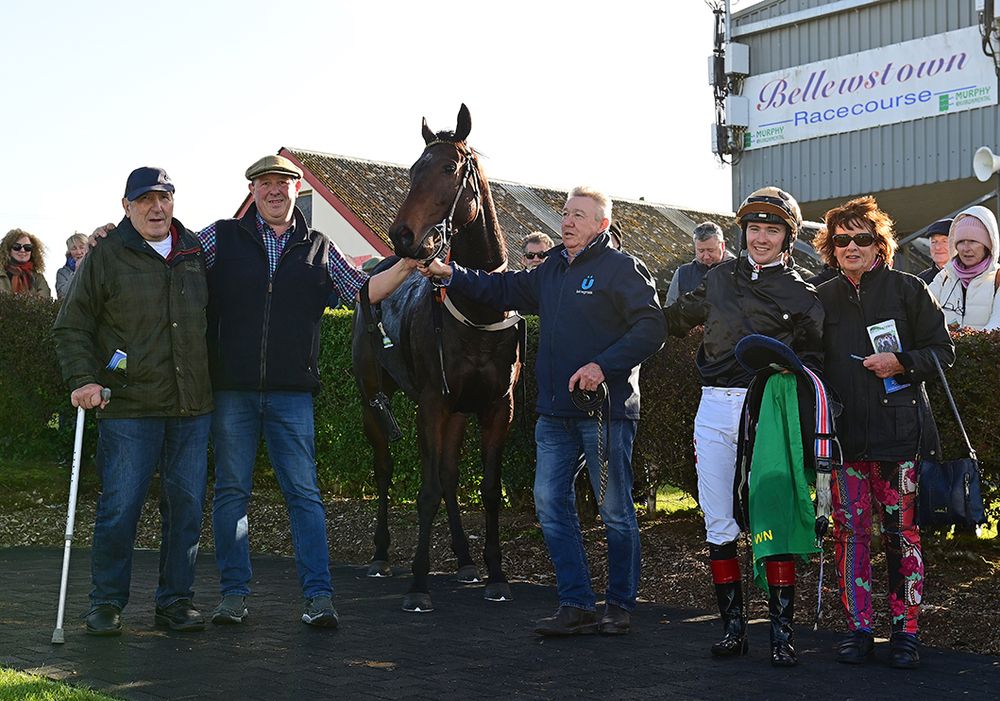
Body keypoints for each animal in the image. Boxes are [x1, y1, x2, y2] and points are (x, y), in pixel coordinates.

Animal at [354, 104, 524, 612]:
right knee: (385, 469)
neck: (479, 311)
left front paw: (495, 575)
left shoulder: (495, 407)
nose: (403, 236)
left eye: (449, 168)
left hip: (458, 412)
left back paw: (465, 560)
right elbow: (425, 488)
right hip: (373, 400)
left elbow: (487, 489)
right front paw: (418, 583)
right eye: (413, 169)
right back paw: (381, 554)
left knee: (449, 474)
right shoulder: (432, 403)